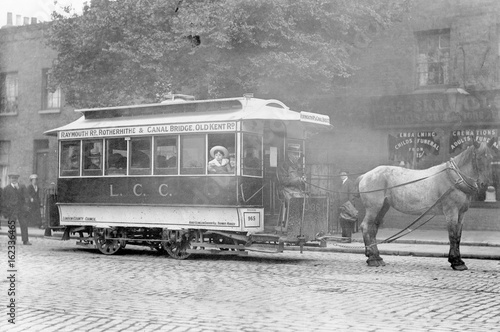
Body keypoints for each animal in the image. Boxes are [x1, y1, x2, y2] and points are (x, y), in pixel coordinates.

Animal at [358, 137, 498, 270]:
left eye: (491, 158)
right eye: (478, 157)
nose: (485, 183)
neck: (455, 178)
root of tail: (365, 175)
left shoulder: (461, 213)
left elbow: (458, 236)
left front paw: (459, 260)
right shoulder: (451, 212)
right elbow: (452, 235)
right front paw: (456, 262)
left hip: (383, 207)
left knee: (373, 228)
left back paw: (377, 257)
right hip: (373, 208)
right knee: (366, 226)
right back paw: (372, 258)